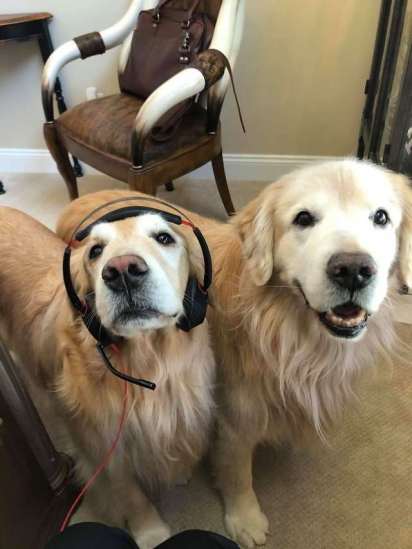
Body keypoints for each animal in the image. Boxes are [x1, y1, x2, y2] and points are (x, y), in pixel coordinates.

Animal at [0, 201, 217, 548]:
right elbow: (130, 494)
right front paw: (150, 532)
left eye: (164, 237)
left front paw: (179, 469)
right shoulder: (101, 445)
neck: (149, 363)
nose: (122, 271)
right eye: (96, 250)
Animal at [55, 158, 412, 548]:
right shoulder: (235, 416)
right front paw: (245, 519)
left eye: (381, 217)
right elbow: (239, 473)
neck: (287, 333)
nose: (353, 270)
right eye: (303, 218)